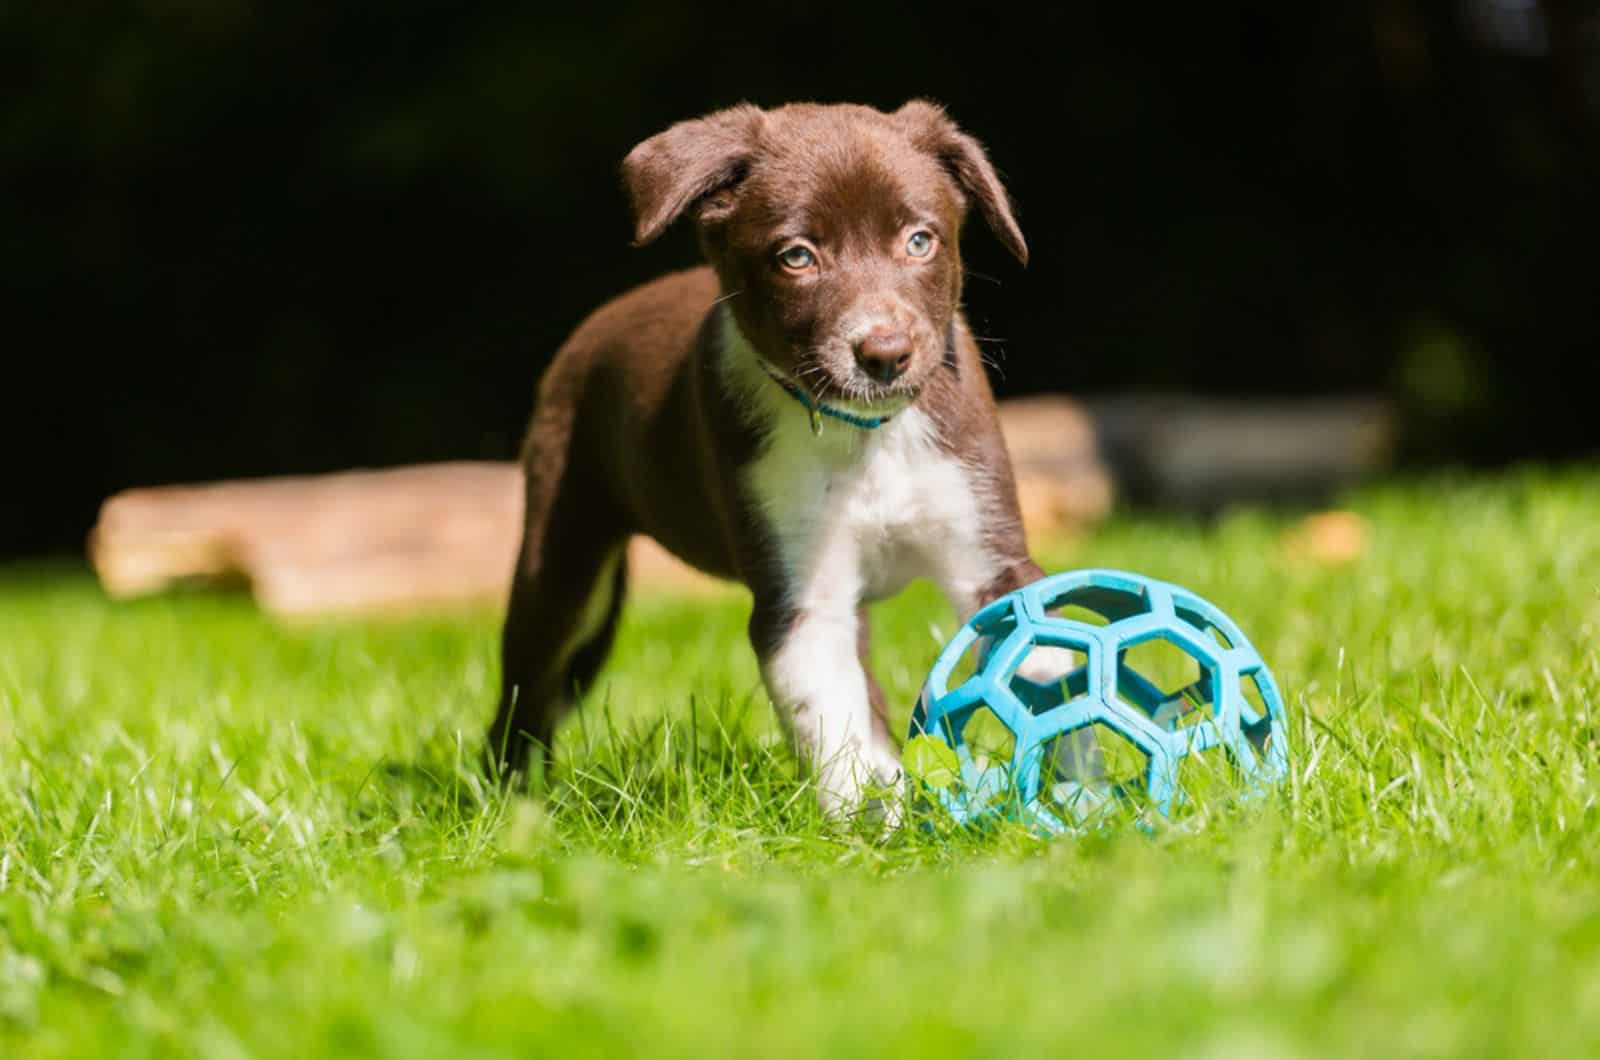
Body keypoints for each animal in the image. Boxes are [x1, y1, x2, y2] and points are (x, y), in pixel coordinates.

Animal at [480, 99, 1068, 816]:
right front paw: (868, 826)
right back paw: (514, 801)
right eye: (797, 257)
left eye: (920, 241)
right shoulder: (801, 601)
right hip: (563, 553)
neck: (864, 438)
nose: (885, 355)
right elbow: (834, 725)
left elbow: (1045, 662)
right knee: (528, 684)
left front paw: (1086, 789)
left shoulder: (991, 554)